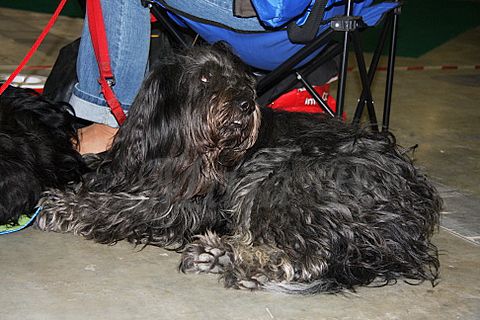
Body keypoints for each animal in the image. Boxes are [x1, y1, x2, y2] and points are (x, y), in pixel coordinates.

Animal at [36, 45, 442, 296]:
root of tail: (408, 221)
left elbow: (126, 205)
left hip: (281, 173)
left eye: (243, 79)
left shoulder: (184, 205)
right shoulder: (126, 166)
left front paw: (67, 207)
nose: (247, 103)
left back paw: (222, 255)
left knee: (306, 257)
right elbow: (99, 171)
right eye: (204, 78)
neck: (179, 147)